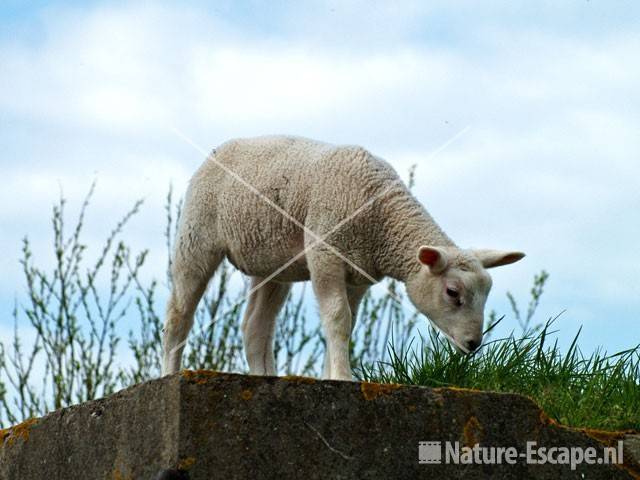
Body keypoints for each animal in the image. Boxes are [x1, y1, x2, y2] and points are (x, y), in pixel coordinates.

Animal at [161, 135, 524, 378]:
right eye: (452, 292)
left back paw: (264, 377)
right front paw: (343, 377)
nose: (474, 343)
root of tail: (222, 148)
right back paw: (169, 372)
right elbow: (337, 317)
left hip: (272, 262)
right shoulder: (326, 253)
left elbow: (348, 321)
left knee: (255, 326)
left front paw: (330, 376)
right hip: (197, 235)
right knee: (179, 314)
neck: (380, 219)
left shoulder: (359, 273)